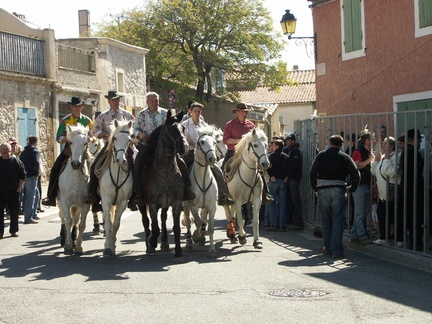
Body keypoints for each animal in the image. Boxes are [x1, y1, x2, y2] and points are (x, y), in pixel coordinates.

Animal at [57, 125, 91, 254]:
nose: (76, 164)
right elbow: (68, 220)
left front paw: (78, 246)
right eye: (70, 142)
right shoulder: (65, 201)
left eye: (85, 143)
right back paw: (64, 238)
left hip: (77, 205)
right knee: (62, 216)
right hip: (59, 201)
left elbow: (81, 224)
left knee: (76, 219)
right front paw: (68, 246)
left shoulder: (85, 204)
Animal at [96, 119, 133, 258]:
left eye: (129, 139)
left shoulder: (122, 202)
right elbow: (108, 223)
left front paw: (112, 245)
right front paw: (107, 248)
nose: (120, 160)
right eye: (115, 138)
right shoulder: (106, 200)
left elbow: (116, 224)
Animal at [181, 126, 218, 256]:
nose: (212, 158)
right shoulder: (192, 205)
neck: (202, 179)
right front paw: (196, 236)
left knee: (202, 219)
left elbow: (210, 226)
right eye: (202, 142)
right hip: (185, 205)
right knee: (188, 221)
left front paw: (212, 249)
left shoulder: (212, 206)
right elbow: (197, 222)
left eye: (214, 142)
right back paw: (189, 243)